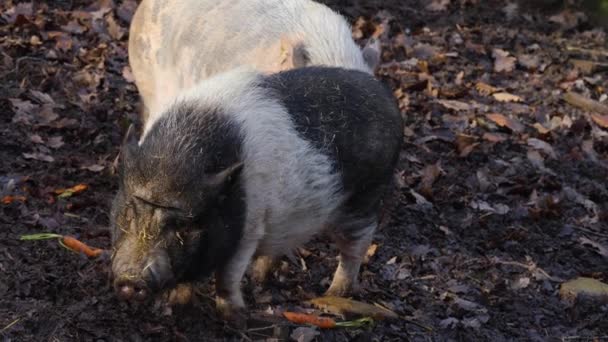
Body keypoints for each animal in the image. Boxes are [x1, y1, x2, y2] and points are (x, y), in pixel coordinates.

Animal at [109, 66, 404, 318]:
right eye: (129, 212)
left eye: (183, 225)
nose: (130, 279)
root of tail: (389, 101)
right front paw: (177, 303)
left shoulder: (249, 230)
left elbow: (227, 277)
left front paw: (236, 317)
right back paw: (261, 279)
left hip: (365, 198)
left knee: (355, 248)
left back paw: (334, 294)